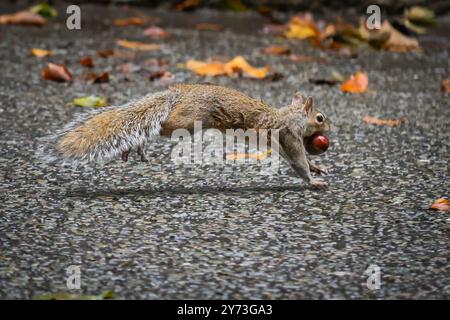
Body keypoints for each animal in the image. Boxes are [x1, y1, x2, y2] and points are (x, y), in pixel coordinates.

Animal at [54, 84, 332, 189]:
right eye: (320, 118)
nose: (329, 131)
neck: (291, 116)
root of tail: (176, 92)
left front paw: (317, 168)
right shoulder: (290, 136)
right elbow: (297, 161)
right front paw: (313, 180)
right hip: (185, 121)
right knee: (156, 125)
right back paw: (139, 144)